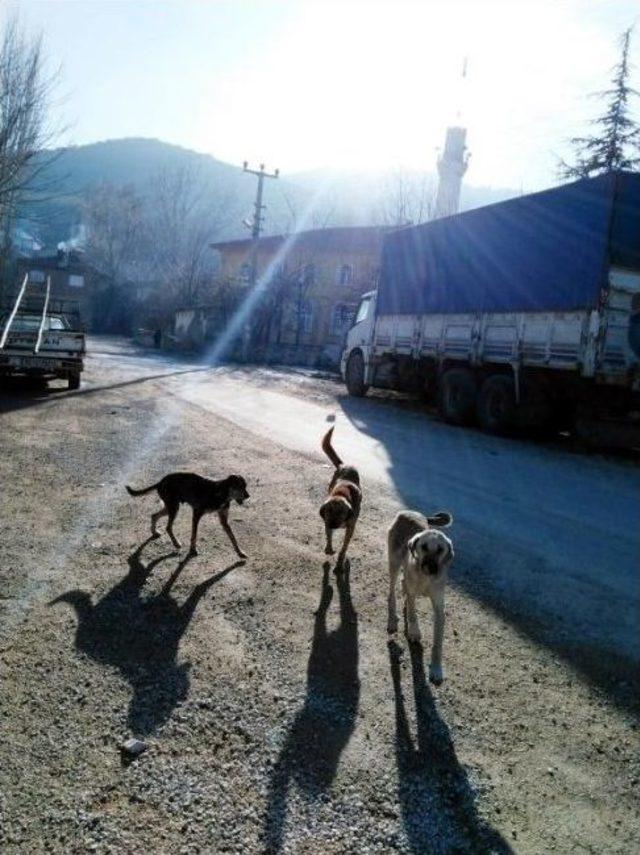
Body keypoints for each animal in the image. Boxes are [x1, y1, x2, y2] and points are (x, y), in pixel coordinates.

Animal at [318, 428, 360, 576]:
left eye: (341, 512)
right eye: (329, 511)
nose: (332, 525)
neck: (341, 494)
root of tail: (343, 465)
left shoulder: (350, 528)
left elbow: (344, 548)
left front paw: (340, 563)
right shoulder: (326, 521)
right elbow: (328, 537)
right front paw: (329, 548)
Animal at [388, 512, 452, 684]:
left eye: (440, 550)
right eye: (424, 547)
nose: (432, 568)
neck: (426, 578)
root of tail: (408, 511)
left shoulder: (439, 608)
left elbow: (438, 643)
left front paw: (436, 668)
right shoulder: (412, 594)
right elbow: (412, 613)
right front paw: (414, 631)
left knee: (402, 583)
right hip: (394, 564)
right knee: (392, 591)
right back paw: (392, 618)